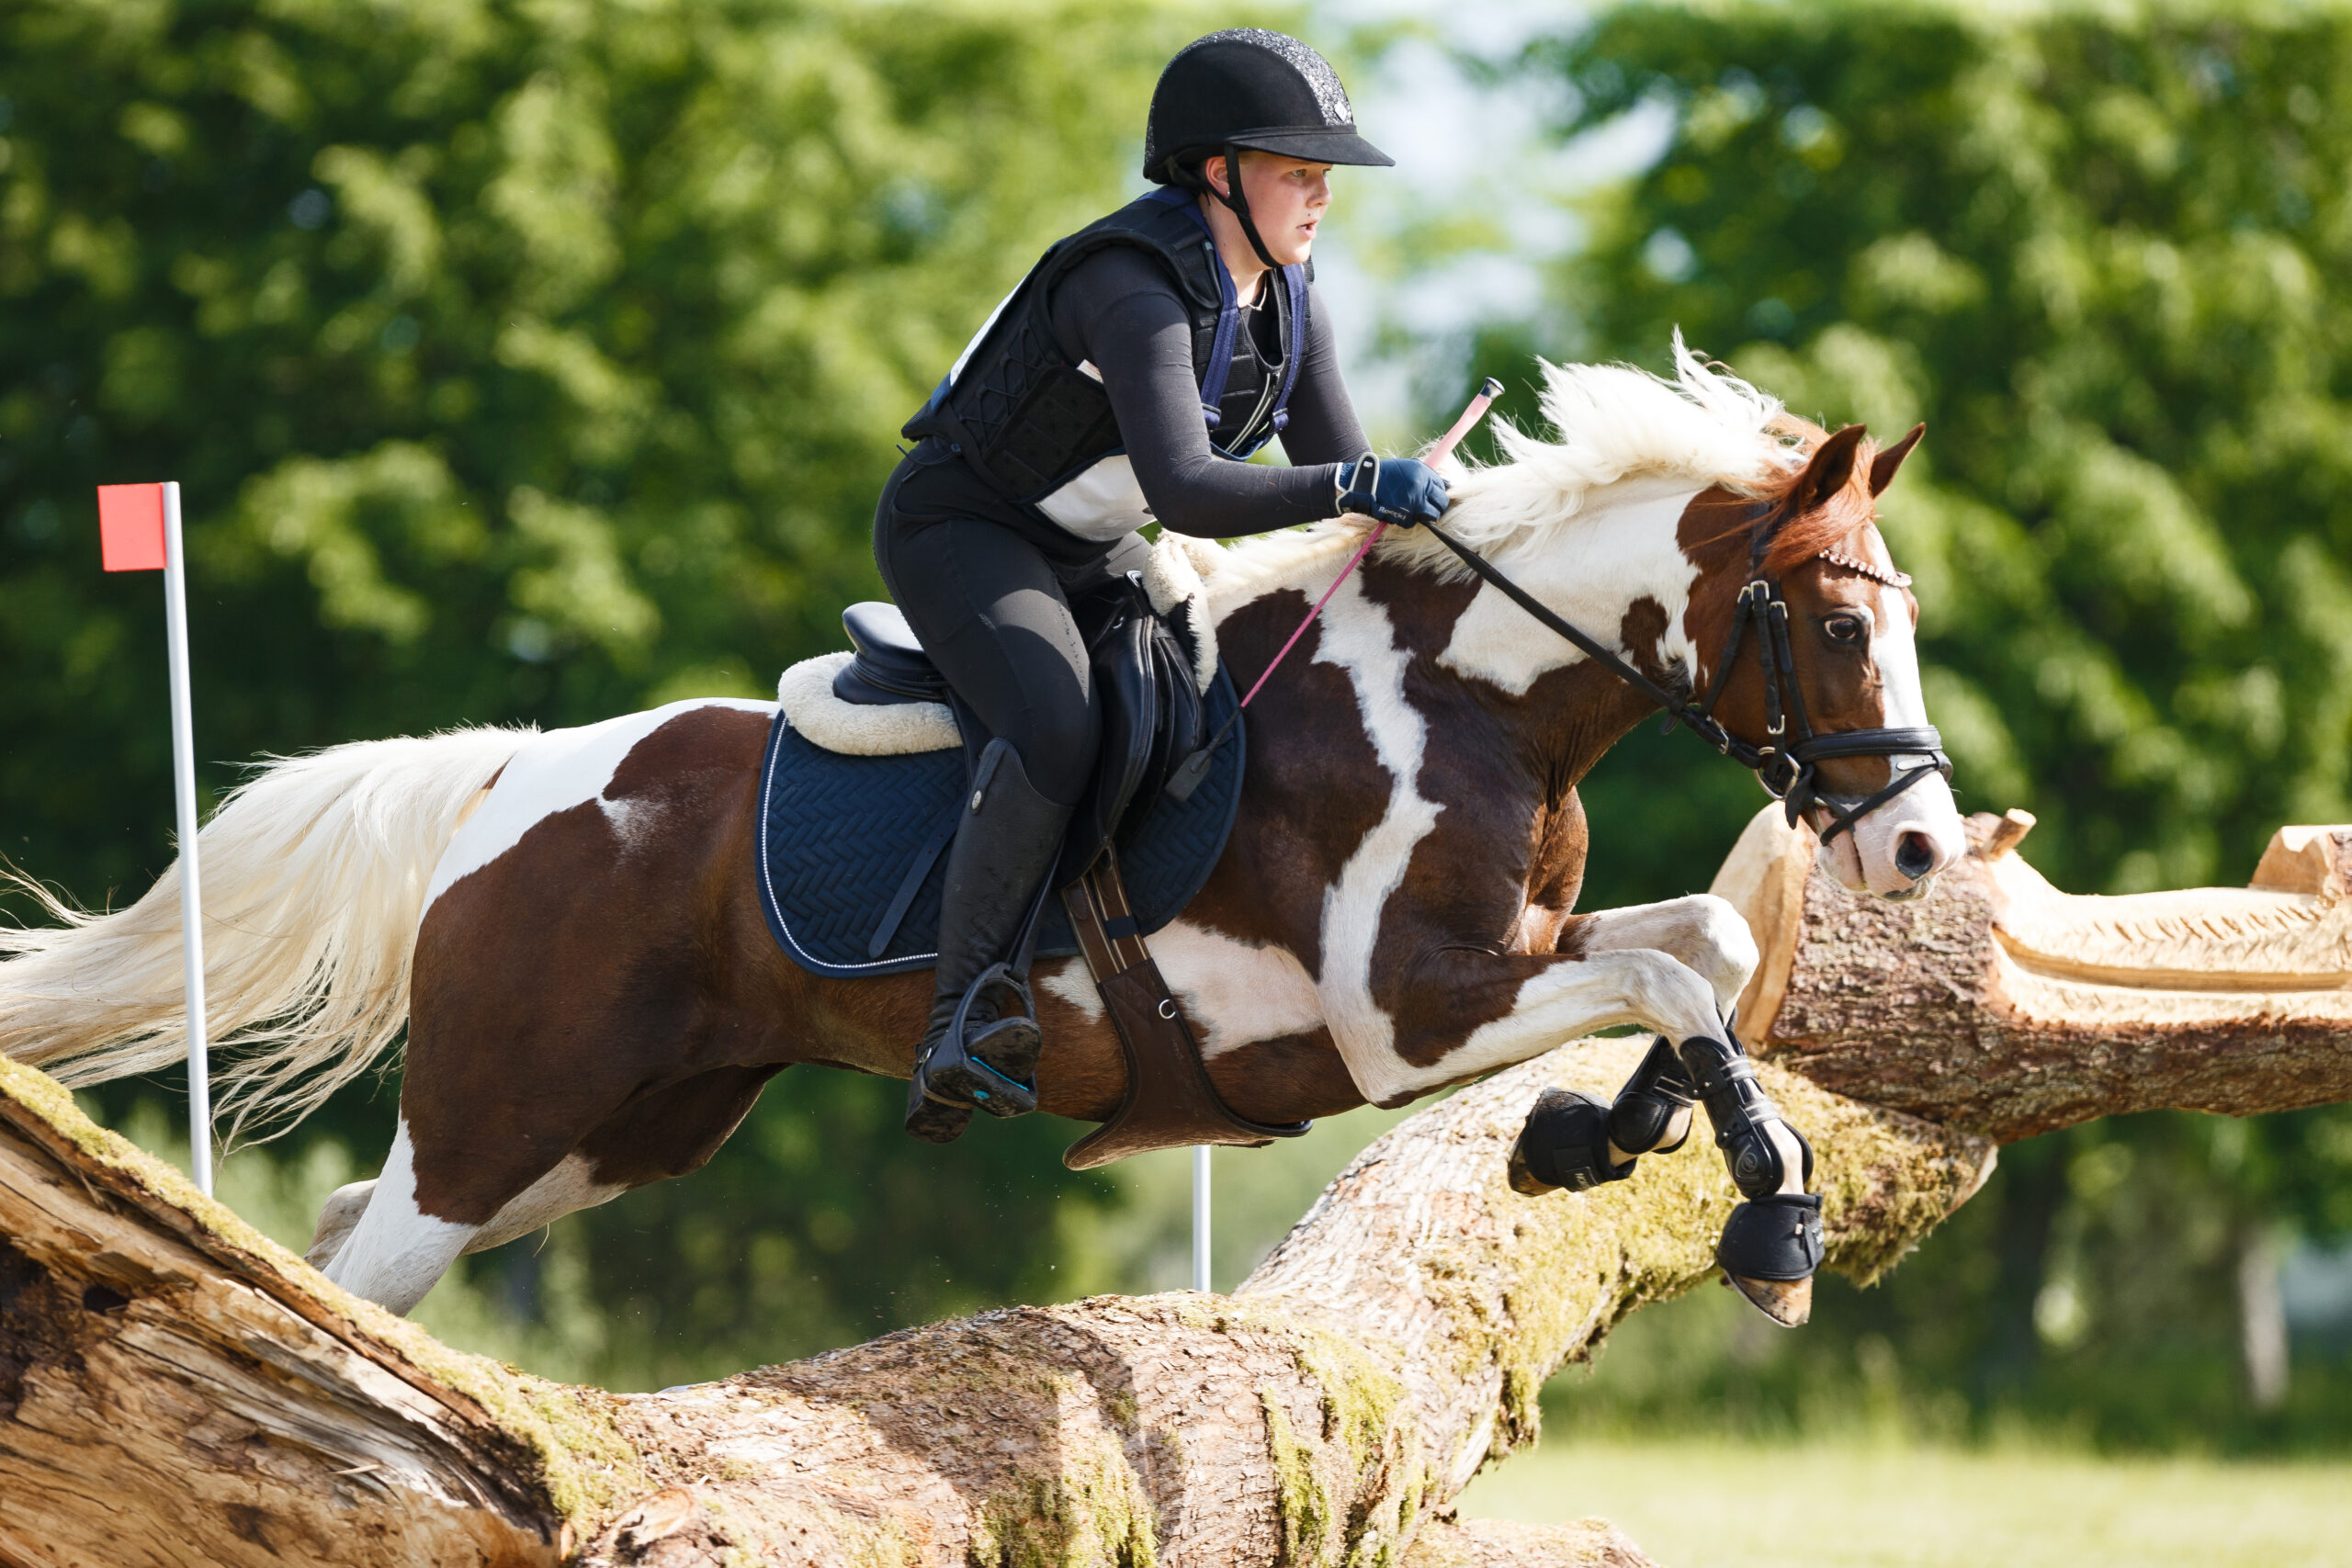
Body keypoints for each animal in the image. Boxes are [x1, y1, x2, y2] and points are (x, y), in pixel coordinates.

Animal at [0, 343, 1966, 1325]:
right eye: (1839, 623)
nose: (1921, 852)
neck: (1468, 693)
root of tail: (512, 780)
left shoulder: (1504, 963)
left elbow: (1700, 952)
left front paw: (1617, 1138)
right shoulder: (1406, 1017)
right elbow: (1684, 971)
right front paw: (1765, 1215)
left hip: (625, 1130)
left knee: (346, 1250)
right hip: (507, 1114)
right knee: (359, 1272)